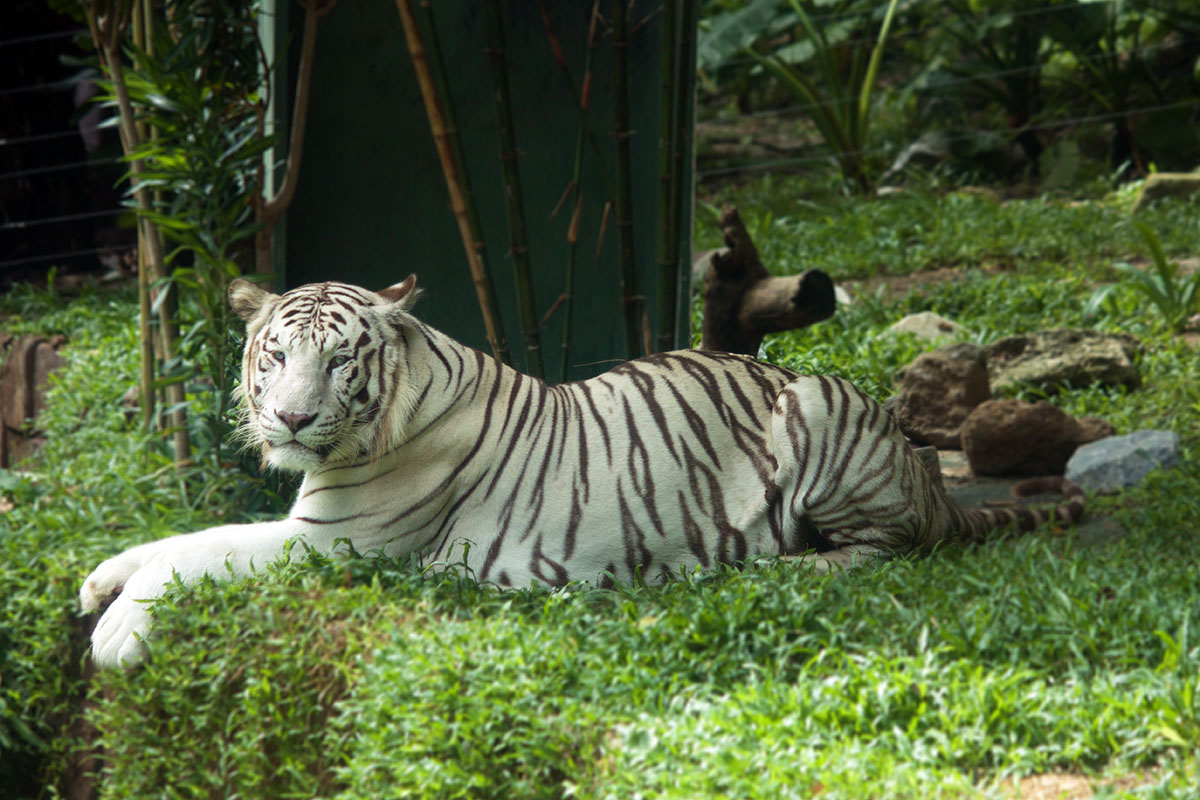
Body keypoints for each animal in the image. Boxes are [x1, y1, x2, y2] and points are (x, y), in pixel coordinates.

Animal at [79, 278, 1084, 666]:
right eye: (276, 356)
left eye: (338, 363)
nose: (289, 418)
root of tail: (932, 479)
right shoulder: (306, 527)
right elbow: (190, 535)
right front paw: (99, 579)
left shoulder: (338, 544)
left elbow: (200, 554)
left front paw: (117, 633)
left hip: (819, 414)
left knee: (887, 548)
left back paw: (783, 565)